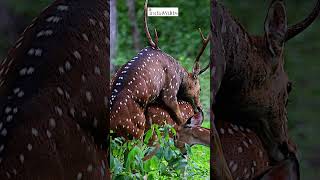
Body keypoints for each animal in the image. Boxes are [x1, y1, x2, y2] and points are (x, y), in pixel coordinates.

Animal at [110, 0, 210, 139]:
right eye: (199, 88)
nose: (199, 107)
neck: (180, 76)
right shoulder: (170, 91)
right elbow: (180, 121)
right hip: (135, 129)